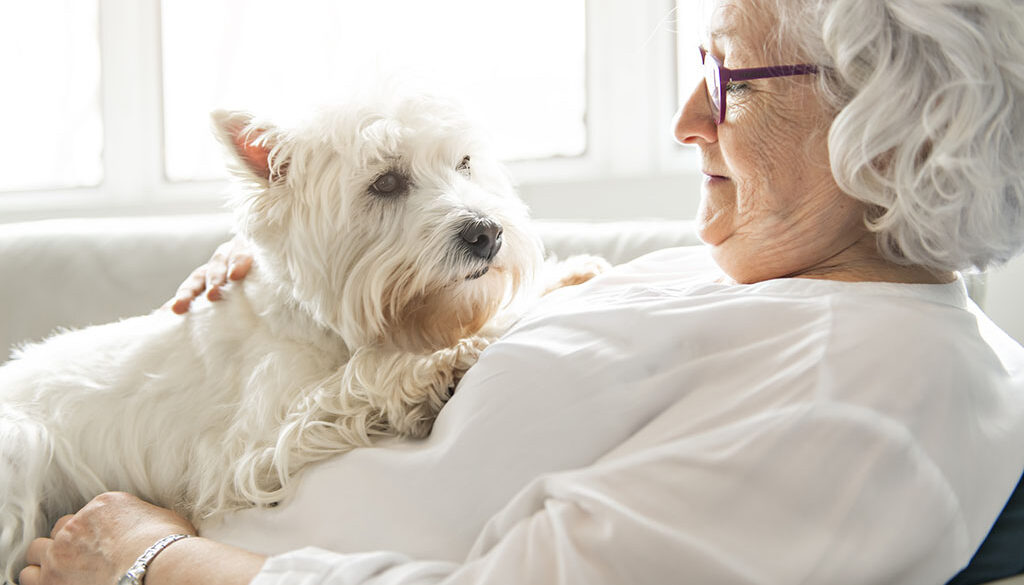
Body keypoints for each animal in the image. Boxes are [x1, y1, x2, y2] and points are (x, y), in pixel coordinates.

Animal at [0, 87, 602, 581]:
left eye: (465, 163)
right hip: (22, 450)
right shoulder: (248, 450)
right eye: (386, 182)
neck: (319, 318)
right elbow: (356, 379)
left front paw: (566, 275)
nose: (487, 233)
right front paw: (444, 359)